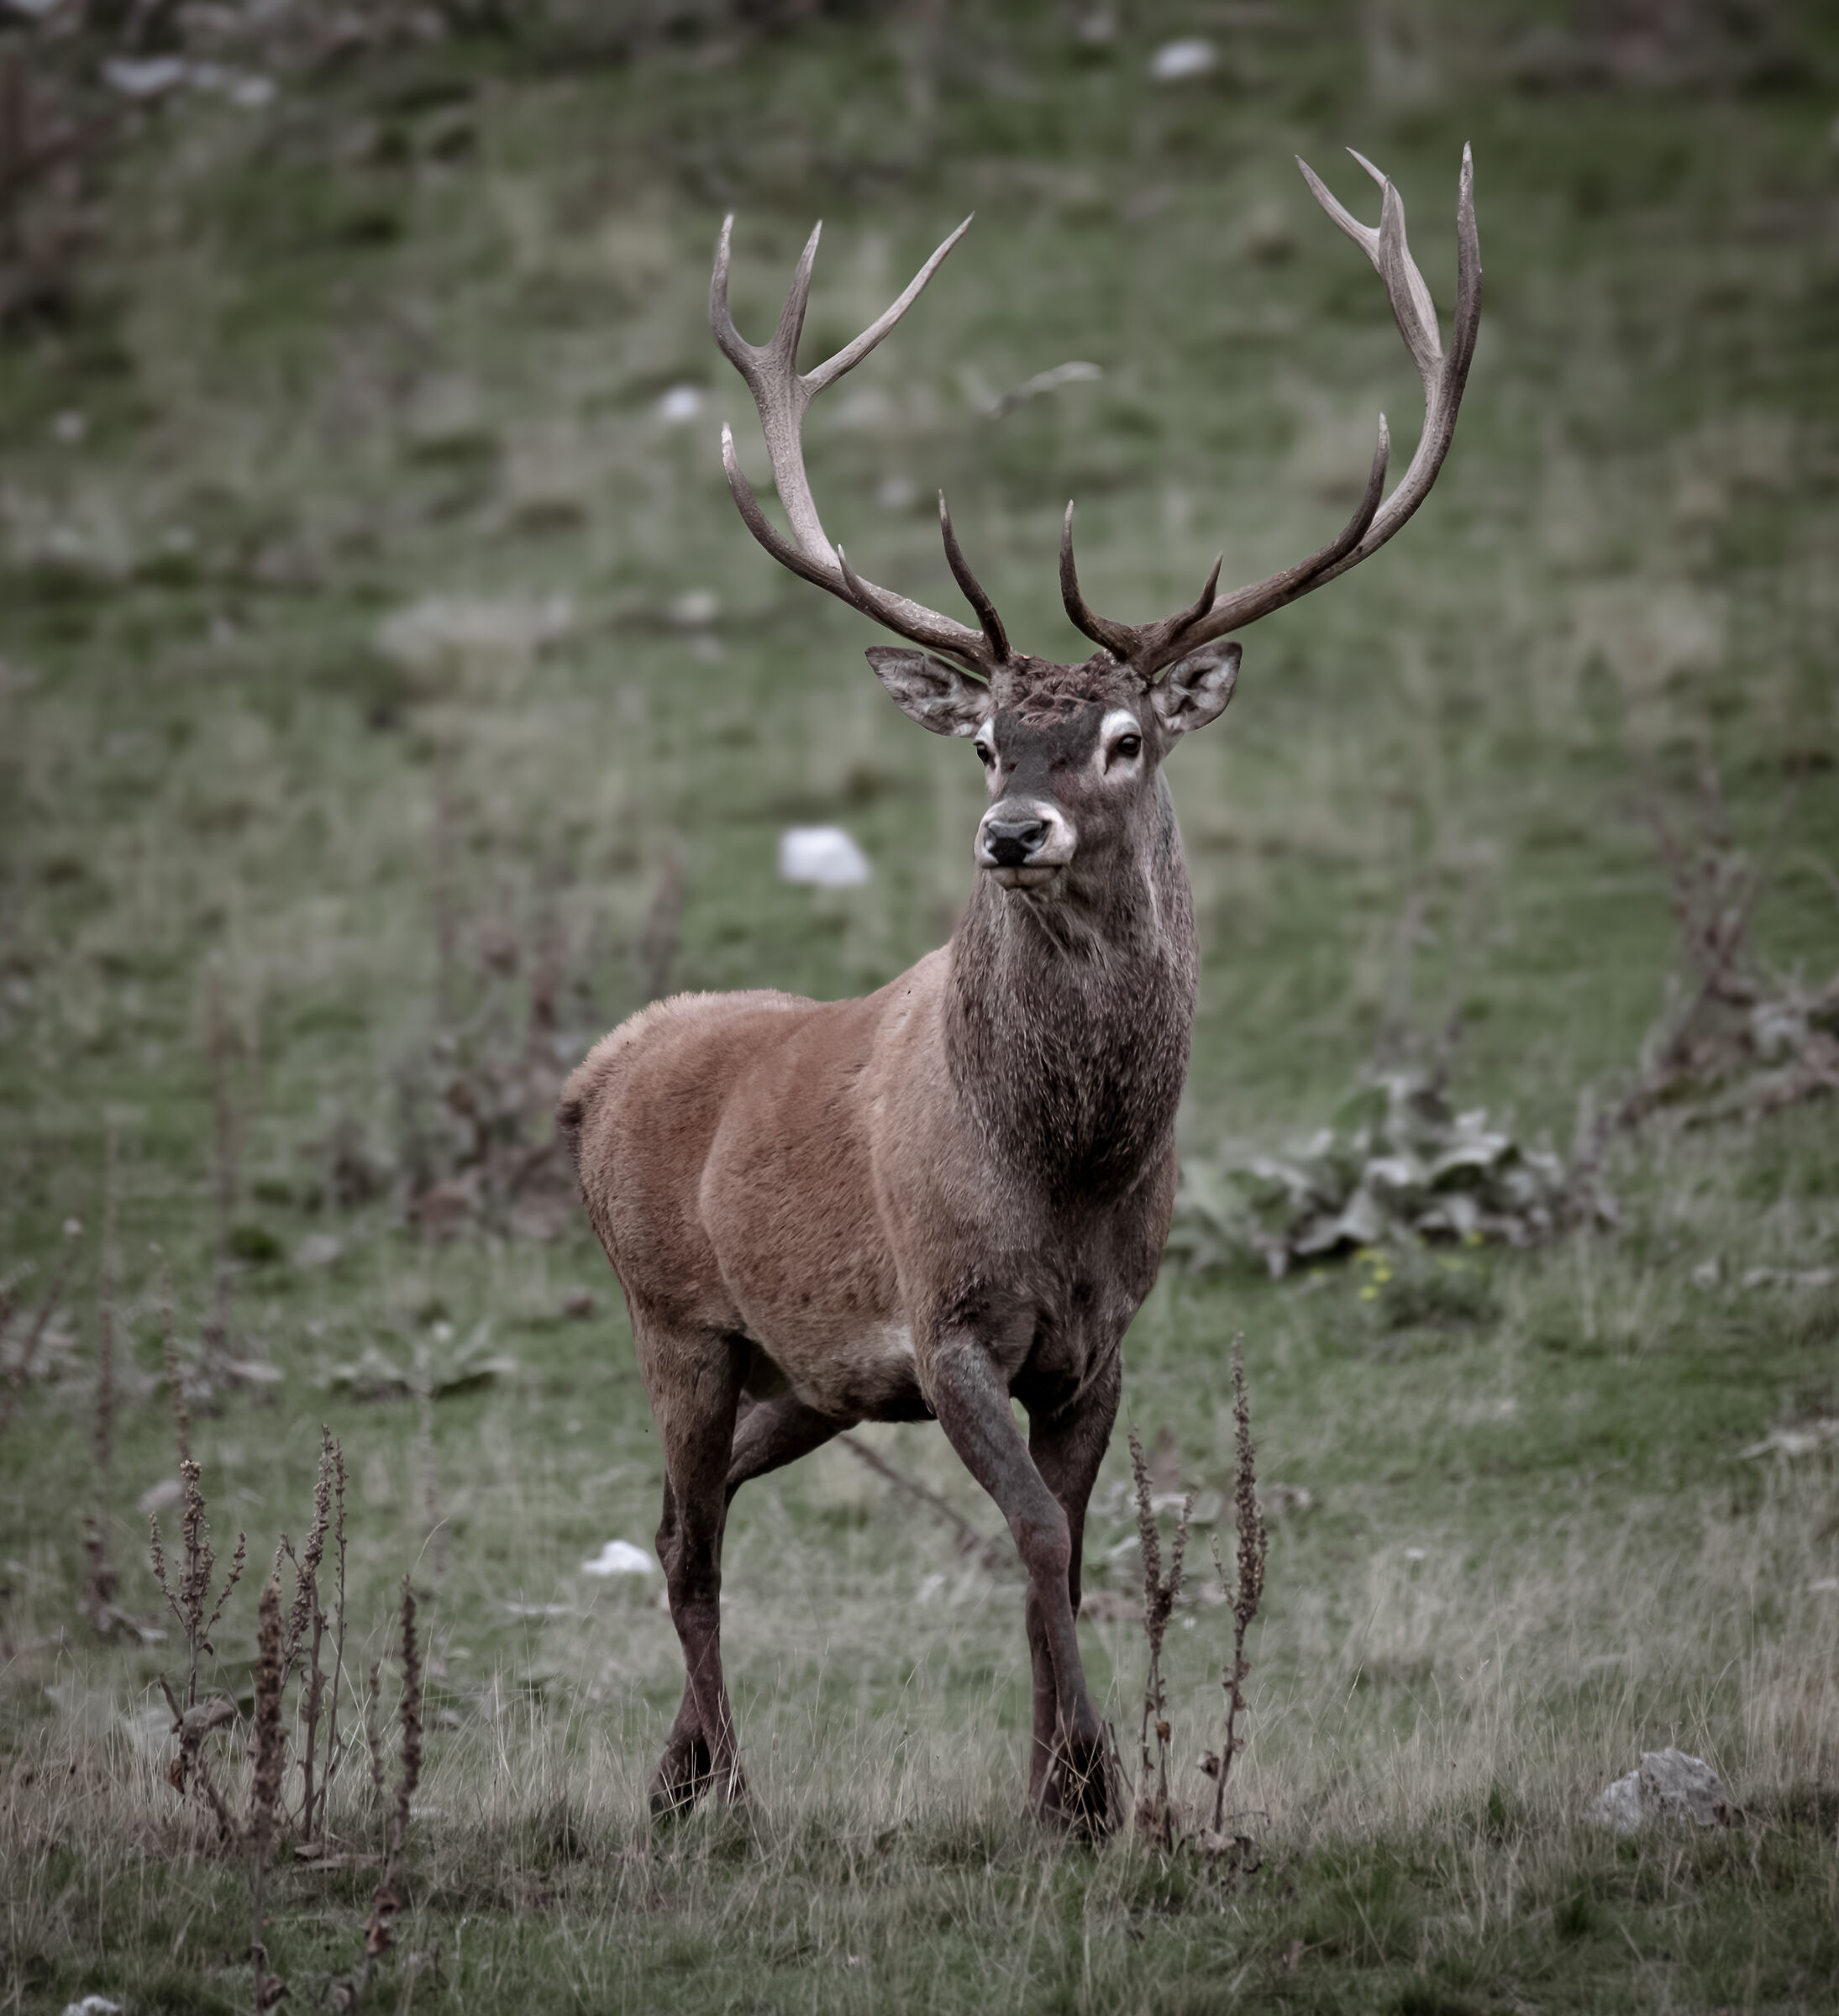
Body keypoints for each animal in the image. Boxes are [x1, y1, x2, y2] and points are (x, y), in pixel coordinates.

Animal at [560, 147, 1480, 1830]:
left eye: (1124, 737)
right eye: (987, 743)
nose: (1009, 833)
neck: (1062, 1166)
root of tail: (599, 1071)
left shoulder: (1101, 1336)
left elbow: (1067, 1535)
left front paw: (1062, 1782)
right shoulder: (946, 1326)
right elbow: (1040, 1540)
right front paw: (1087, 1789)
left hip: (804, 1375)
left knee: (679, 1513)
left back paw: (674, 1775)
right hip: (676, 1315)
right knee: (689, 1543)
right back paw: (724, 1788)